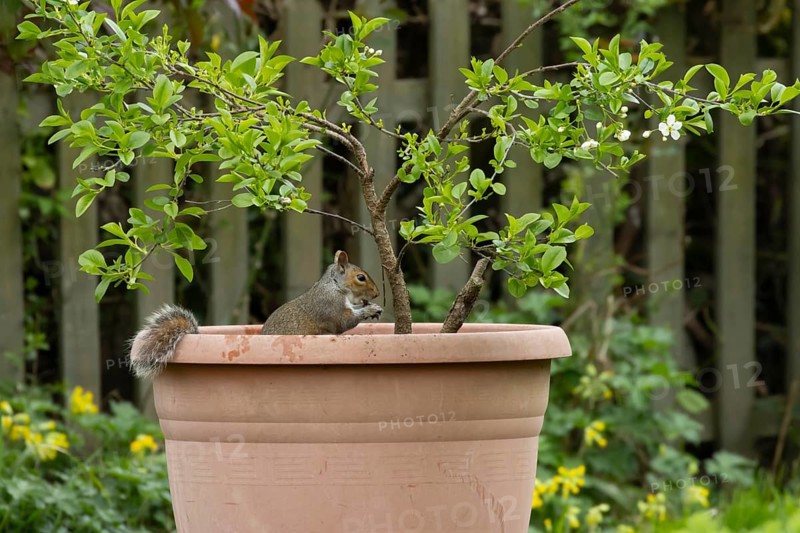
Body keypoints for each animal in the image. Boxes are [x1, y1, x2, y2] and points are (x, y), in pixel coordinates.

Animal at [128, 250, 382, 379]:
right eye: (361, 277)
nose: (377, 293)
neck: (335, 287)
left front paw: (373, 308)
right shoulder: (330, 308)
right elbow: (344, 322)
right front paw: (369, 309)